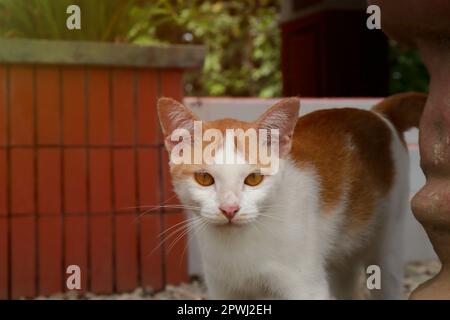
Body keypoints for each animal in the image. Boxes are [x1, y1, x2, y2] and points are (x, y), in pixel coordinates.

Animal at [157, 93, 426, 300]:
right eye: (204, 178)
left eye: (253, 179)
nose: (230, 209)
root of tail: (377, 114)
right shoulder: (223, 289)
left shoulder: (306, 287)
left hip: (387, 244)